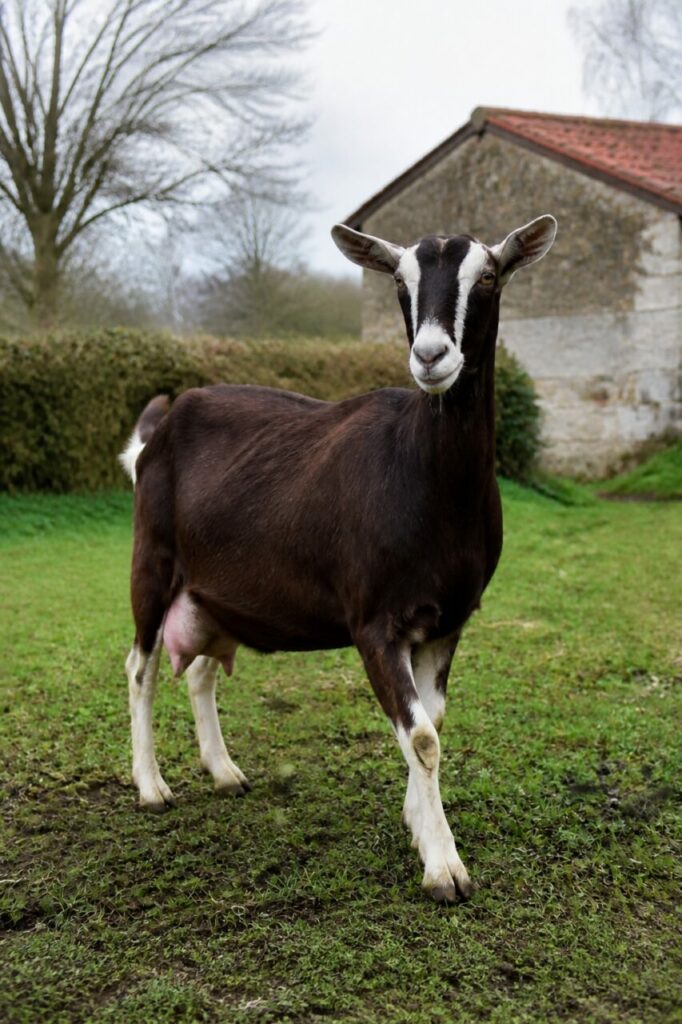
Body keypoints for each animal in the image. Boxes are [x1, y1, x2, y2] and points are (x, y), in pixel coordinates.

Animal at [121, 214, 556, 903]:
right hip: (154, 561)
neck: (427, 481)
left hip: (216, 593)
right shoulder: (374, 621)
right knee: (140, 668)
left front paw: (417, 824)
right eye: (399, 282)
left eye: (488, 276)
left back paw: (224, 771)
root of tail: (160, 425)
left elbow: (430, 723)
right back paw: (151, 786)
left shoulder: (447, 623)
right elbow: (422, 737)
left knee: (200, 671)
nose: (431, 356)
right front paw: (444, 868)